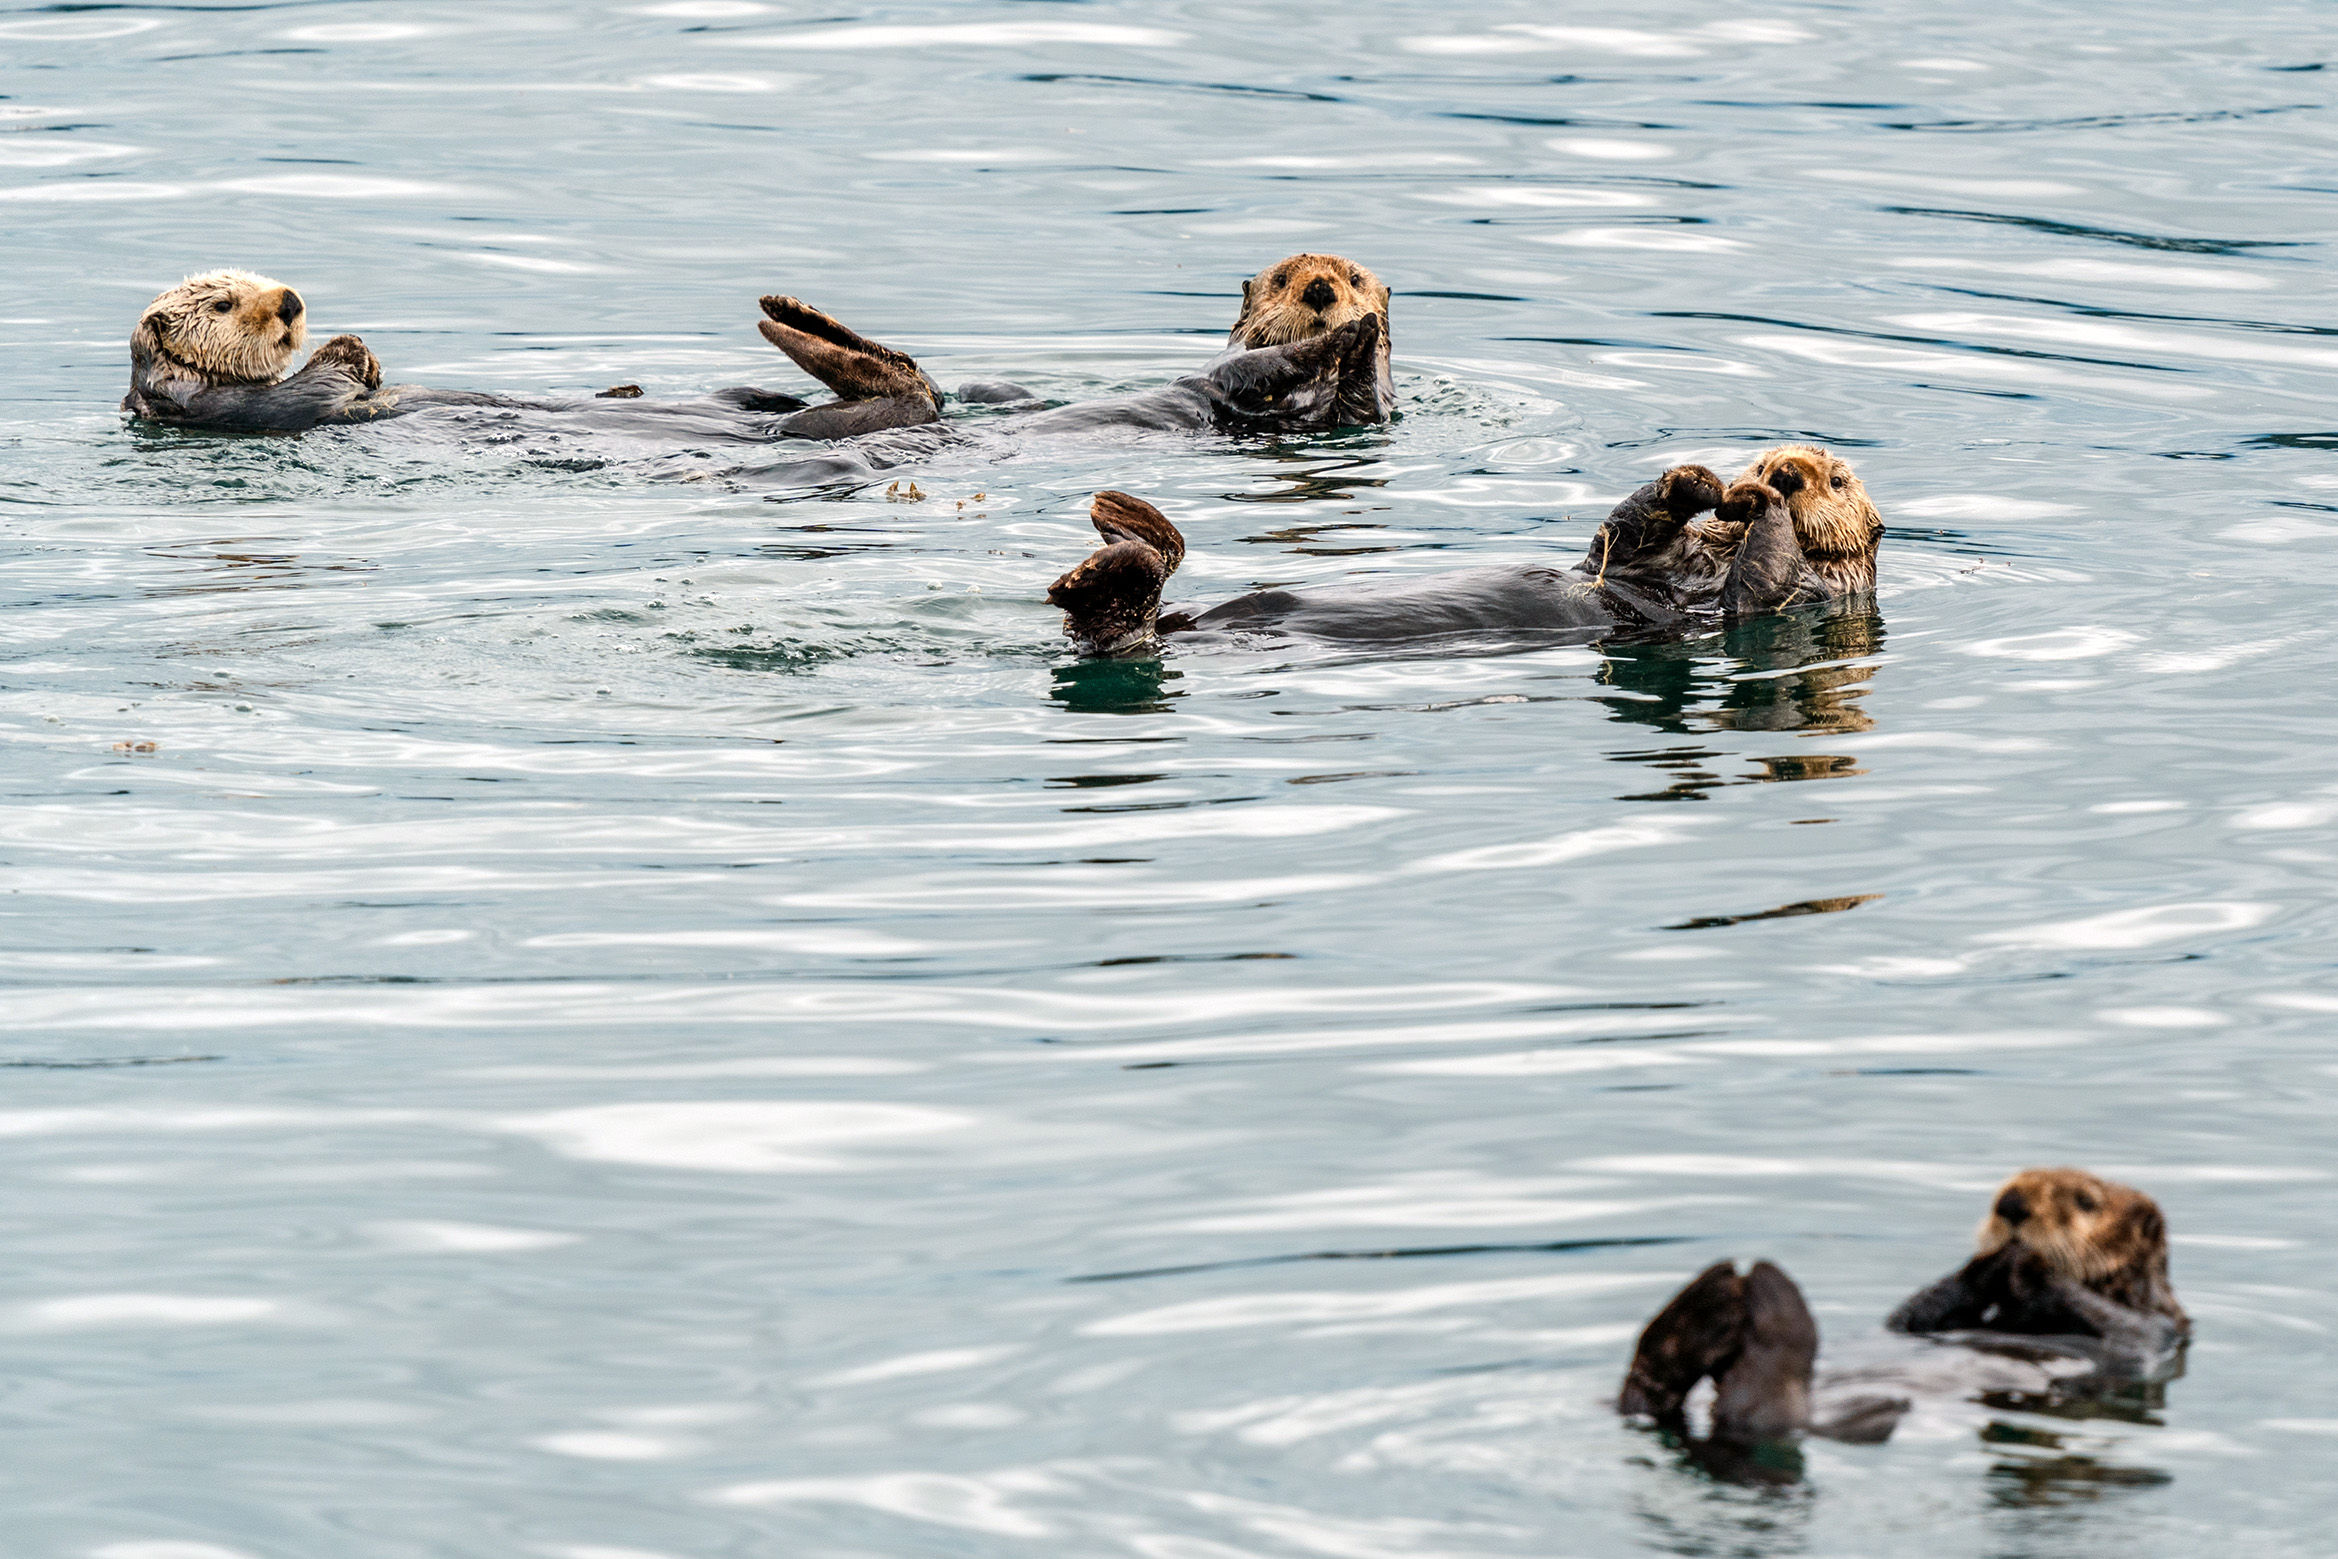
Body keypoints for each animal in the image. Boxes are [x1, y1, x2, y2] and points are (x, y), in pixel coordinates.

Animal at [1044, 446, 1881, 655]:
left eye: (1837, 478)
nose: (1784, 471)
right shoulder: (1633, 559)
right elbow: (1621, 531)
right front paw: (1696, 482)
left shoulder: (1791, 599)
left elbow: (1760, 585)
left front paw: (1759, 504)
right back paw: (1122, 517)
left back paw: (1106, 552)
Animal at [1616, 1168, 2188, 1453]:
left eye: (2086, 1201)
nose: (2011, 1204)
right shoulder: (1920, 1316)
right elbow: (1909, 1316)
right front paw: (1982, 1264)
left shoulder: (2153, 1325)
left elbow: (2115, 1323)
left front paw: (2025, 1261)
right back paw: (1705, 1311)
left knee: (1761, 1407)